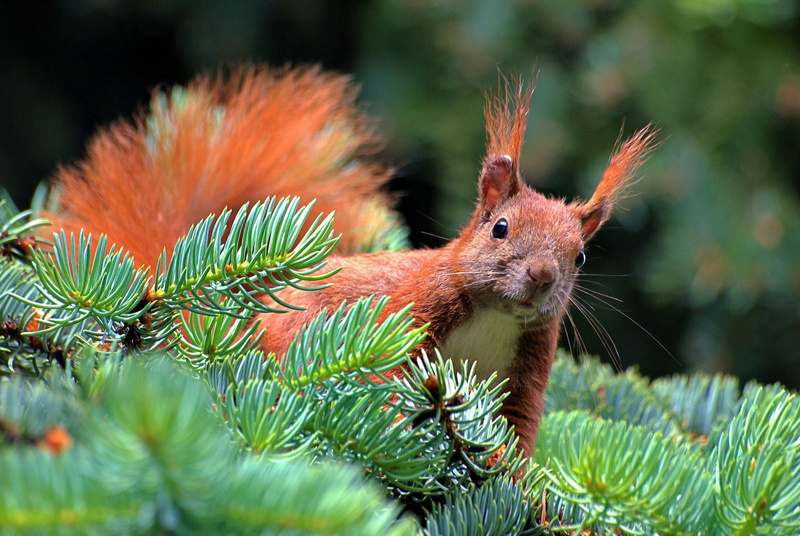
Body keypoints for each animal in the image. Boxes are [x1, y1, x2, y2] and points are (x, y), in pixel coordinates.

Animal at [43, 65, 657, 455]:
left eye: (580, 256)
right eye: (500, 228)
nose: (543, 276)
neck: (494, 318)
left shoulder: (527, 376)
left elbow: (520, 436)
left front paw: (524, 491)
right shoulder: (411, 310)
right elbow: (386, 367)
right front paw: (395, 420)